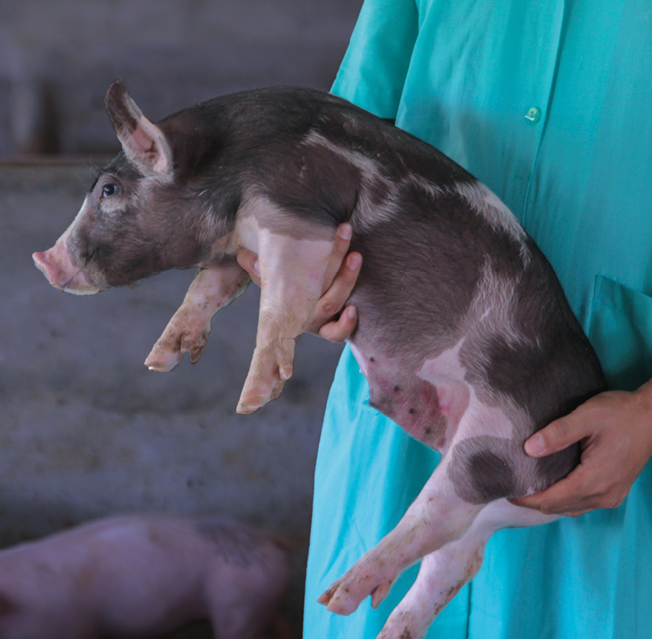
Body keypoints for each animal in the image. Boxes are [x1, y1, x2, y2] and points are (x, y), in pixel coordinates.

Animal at [33, 80, 606, 637]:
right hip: (488, 496)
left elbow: (281, 301)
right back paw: (376, 622)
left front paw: (251, 400)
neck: (228, 164)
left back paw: (336, 595)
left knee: (433, 520)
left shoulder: (300, 221)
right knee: (456, 557)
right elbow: (209, 287)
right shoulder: (237, 252)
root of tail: (563, 460)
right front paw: (161, 359)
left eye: (110, 190)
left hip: (496, 442)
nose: (43, 261)